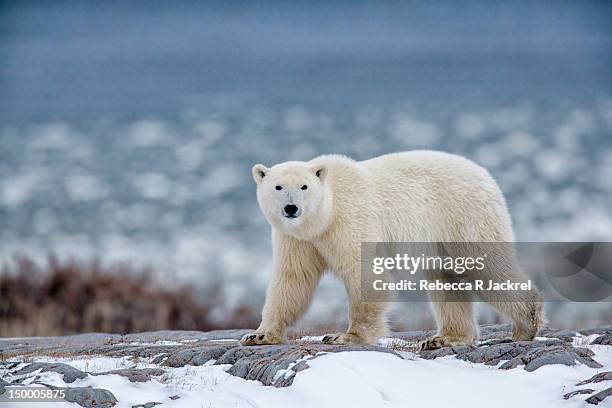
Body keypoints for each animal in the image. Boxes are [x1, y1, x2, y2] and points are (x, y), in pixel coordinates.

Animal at [241, 151, 544, 350]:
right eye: (278, 186)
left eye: (304, 186)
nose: (291, 208)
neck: (325, 214)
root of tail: (487, 176)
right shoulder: (297, 239)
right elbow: (293, 279)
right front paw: (259, 335)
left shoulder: (350, 221)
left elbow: (362, 272)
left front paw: (345, 337)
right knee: (446, 279)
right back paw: (444, 338)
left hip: (463, 216)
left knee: (485, 266)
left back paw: (526, 325)